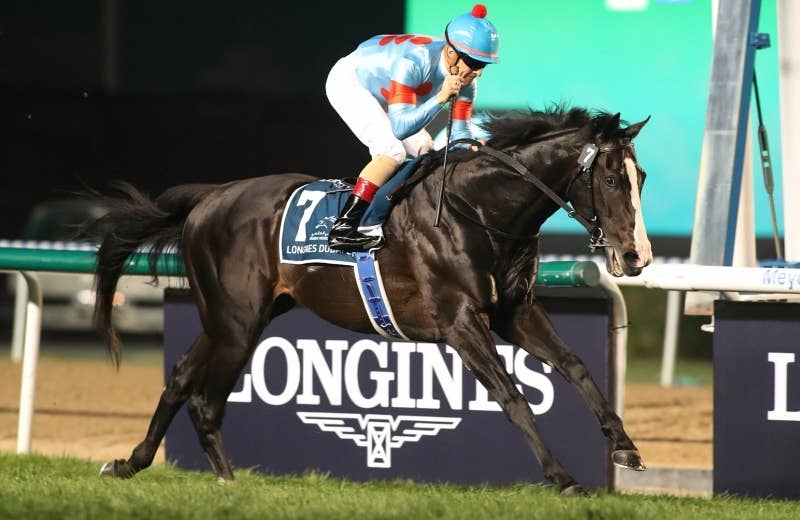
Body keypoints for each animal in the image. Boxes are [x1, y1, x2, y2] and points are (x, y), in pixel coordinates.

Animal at [86, 106, 652, 495]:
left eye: (640, 178)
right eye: (609, 178)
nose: (637, 256)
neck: (479, 209)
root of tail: (210, 199)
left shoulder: (515, 312)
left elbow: (576, 367)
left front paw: (624, 447)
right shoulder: (460, 322)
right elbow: (513, 397)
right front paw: (562, 476)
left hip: (239, 317)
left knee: (182, 377)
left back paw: (135, 463)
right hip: (236, 321)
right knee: (203, 396)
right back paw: (223, 480)